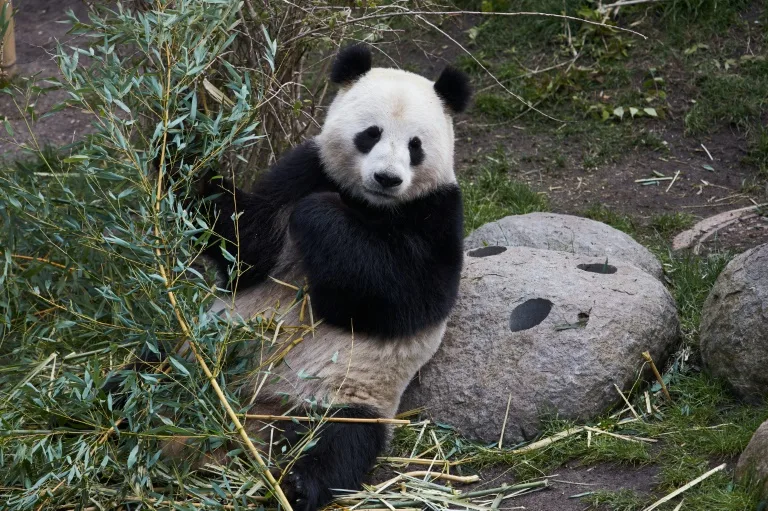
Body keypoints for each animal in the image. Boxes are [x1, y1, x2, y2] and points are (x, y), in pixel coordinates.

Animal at [130, 45, 468, 511]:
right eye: (371, 134)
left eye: (415, 146)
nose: (387, 178)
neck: (370, 204)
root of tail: (248, 417)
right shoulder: (305, 168)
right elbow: (246, 248)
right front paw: (181, 141)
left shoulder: (438, 211)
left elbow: (408, 298)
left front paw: (319, 214)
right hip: (191, 353)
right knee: (145, 373)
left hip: (339, 396)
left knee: (336, 443)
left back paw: (294, 485)